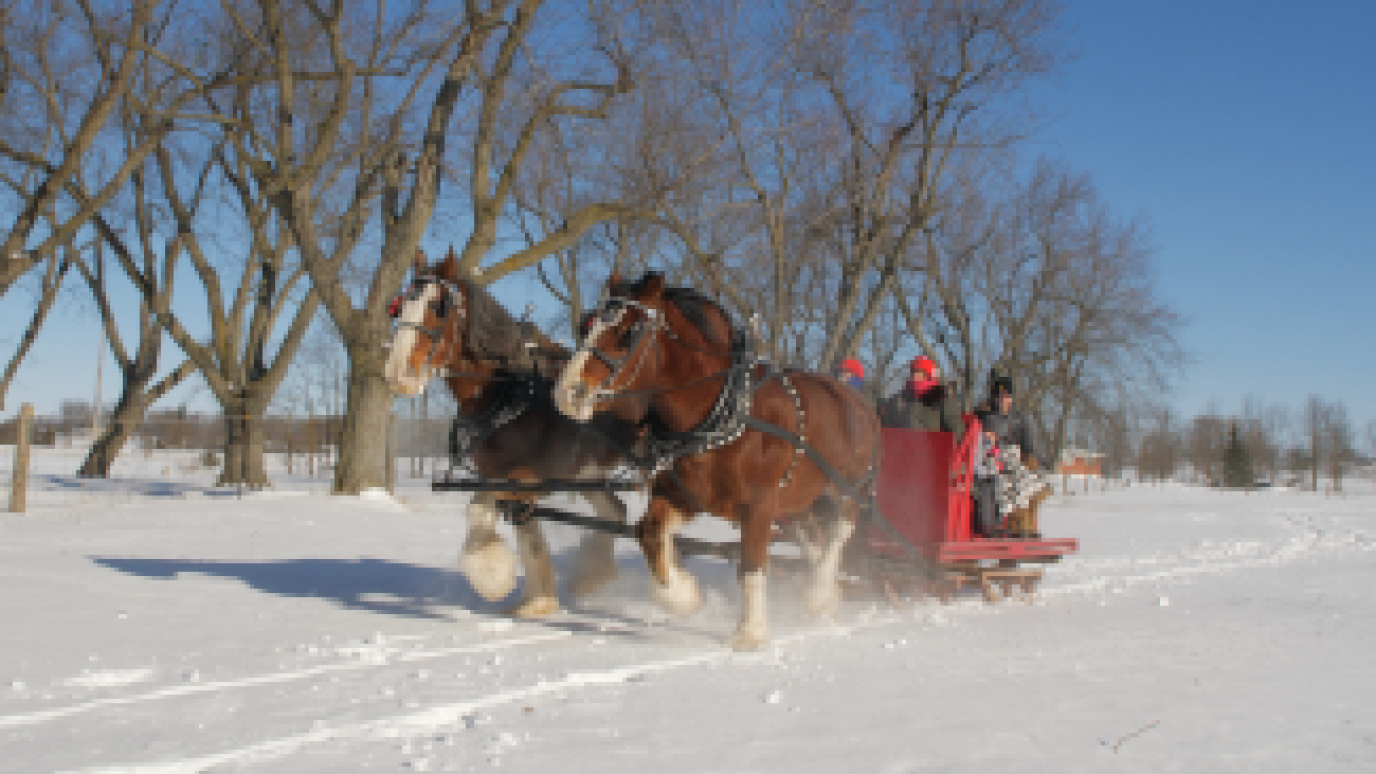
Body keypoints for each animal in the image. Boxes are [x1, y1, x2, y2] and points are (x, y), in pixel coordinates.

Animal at [383, 248, 646, 616]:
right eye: (399, 307)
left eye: (438, 306)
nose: (397, 374)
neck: (510, 392)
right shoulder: (504, 477)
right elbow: (526, 534)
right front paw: (536, 602)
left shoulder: (530, 478)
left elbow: (478, 508)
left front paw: (493, 579)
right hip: (588, 474)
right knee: (615, 510)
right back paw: (593, 575)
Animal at [552, 272, 882, 650]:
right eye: (588, 324)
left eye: (629, 331)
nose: (566, 392)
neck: (717, 415)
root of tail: (859, 401)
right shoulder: (688, 495)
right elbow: (650, 531)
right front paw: (683, 596)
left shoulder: (759, 505)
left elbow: (751, 566)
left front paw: (749, 633)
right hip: (799, 498)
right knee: (813, 539)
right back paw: (825, 599)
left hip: (847, 489)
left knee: (840, 533)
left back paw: (819, 594)